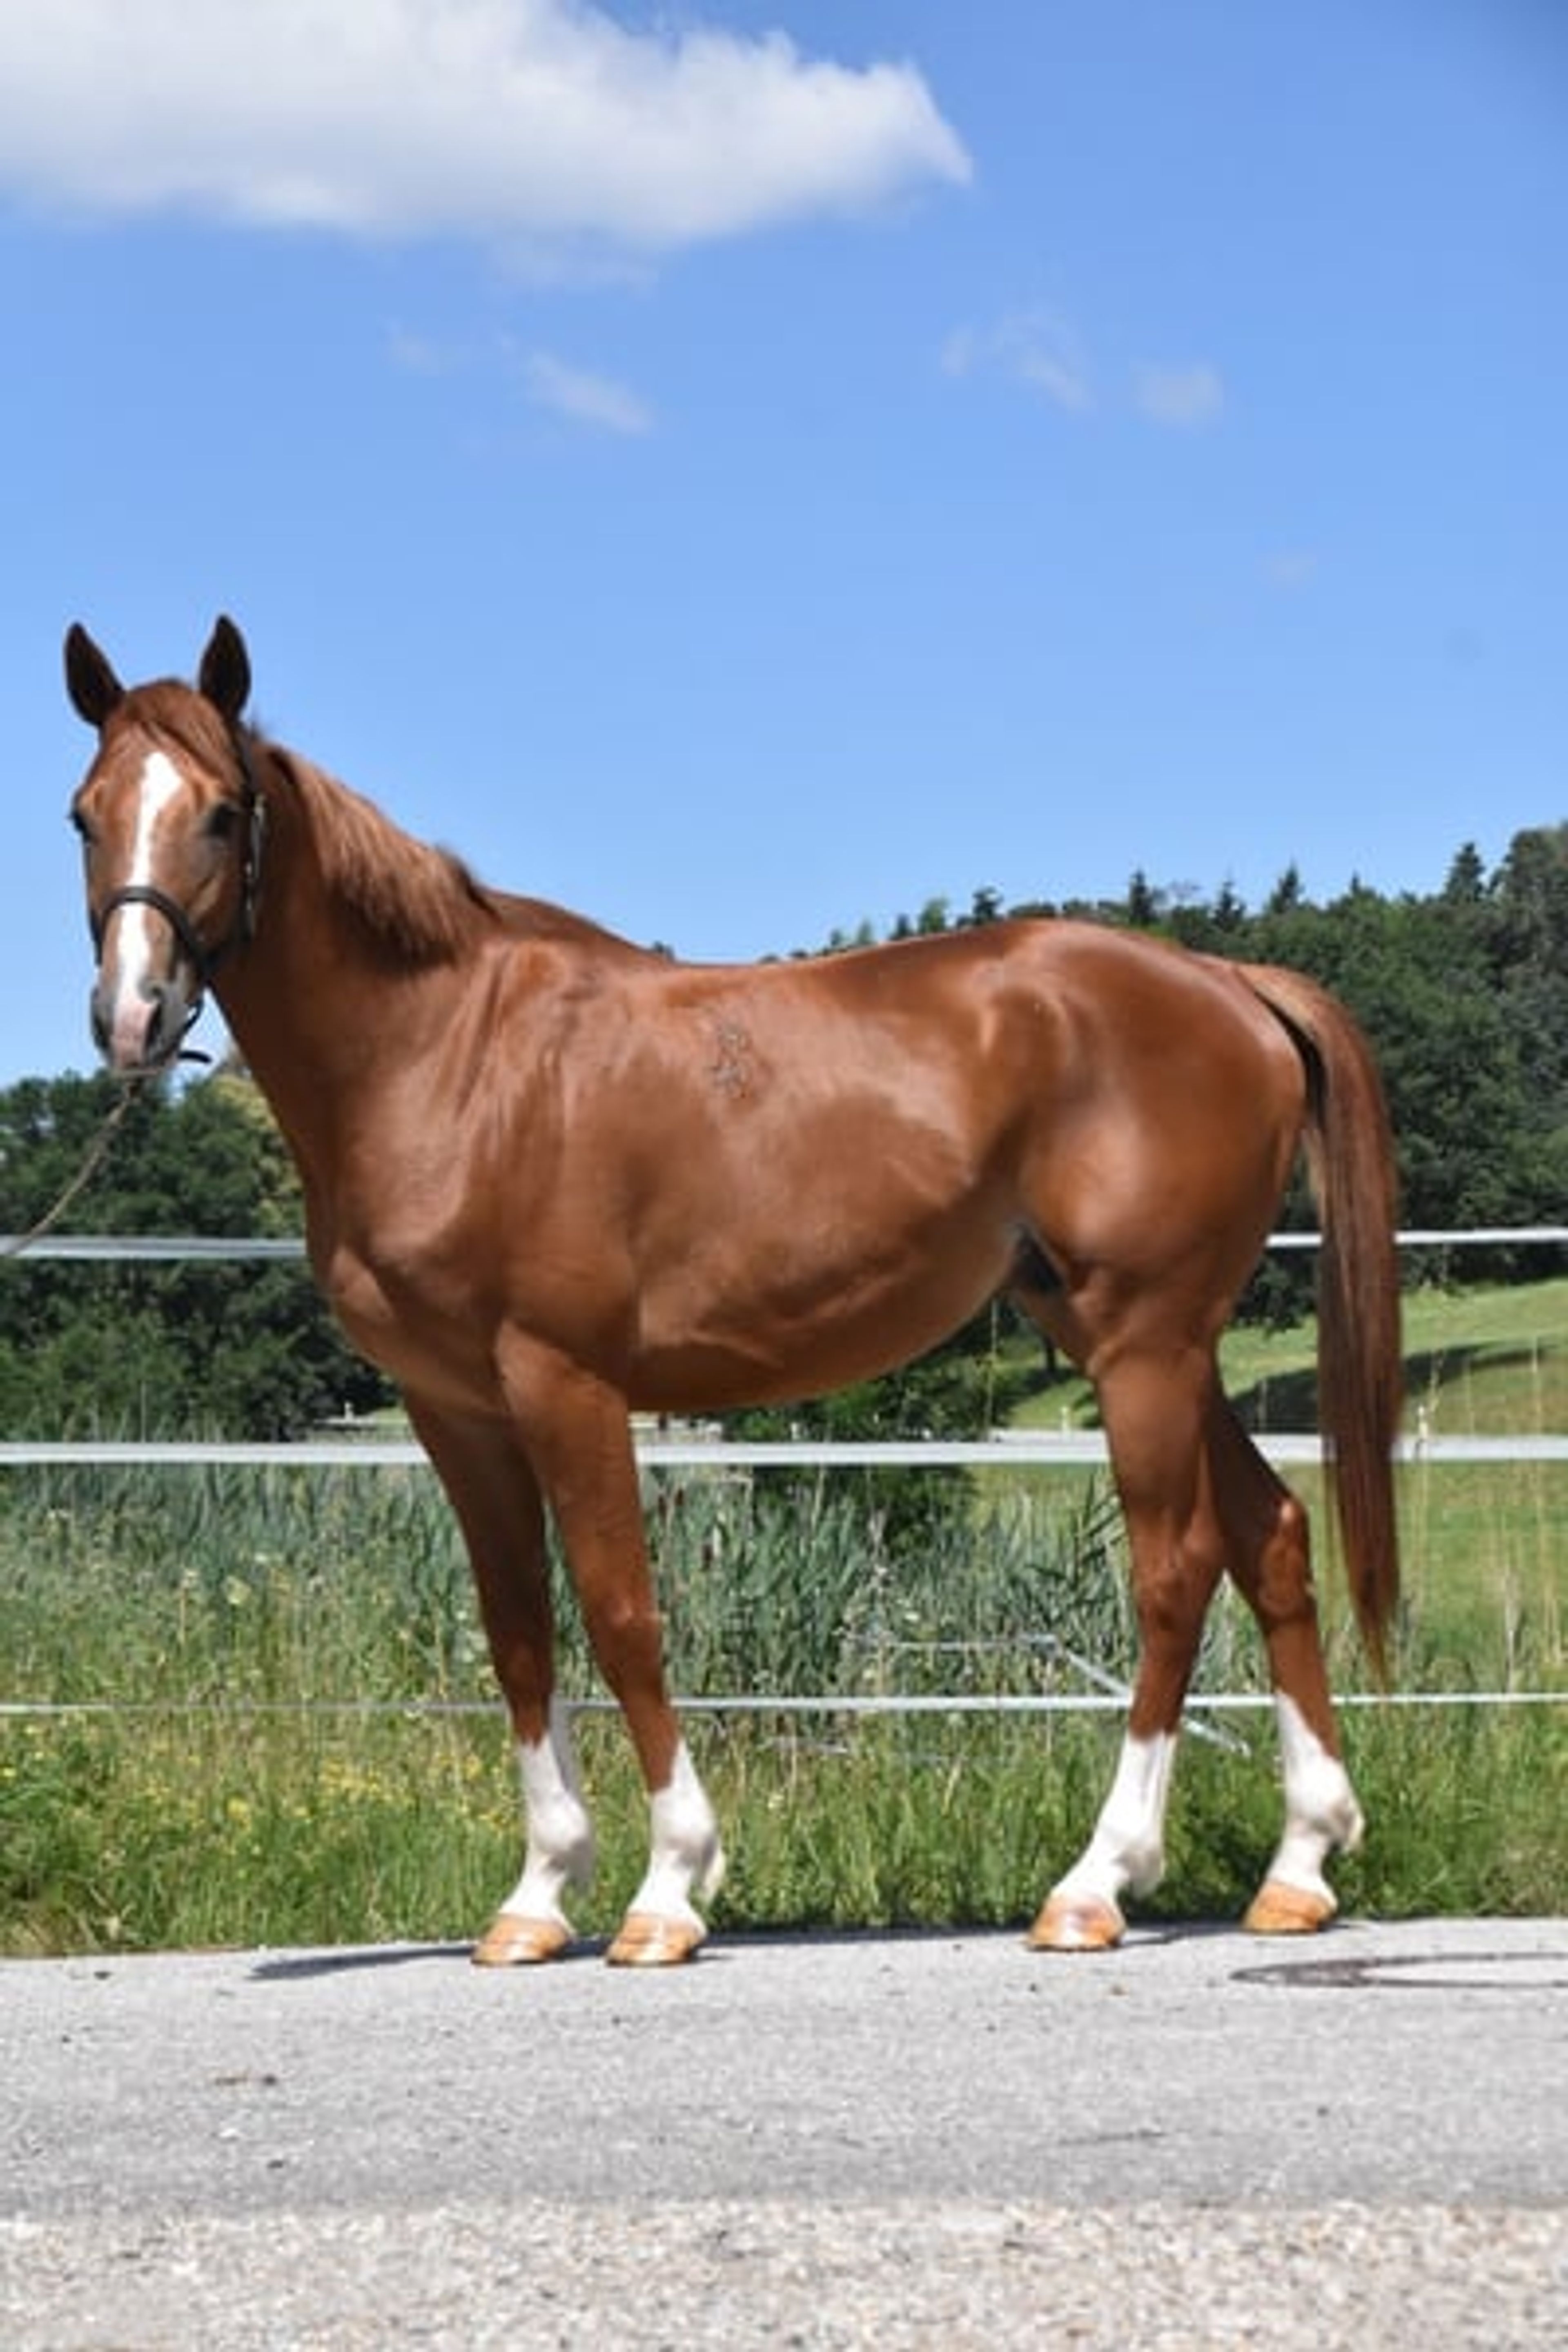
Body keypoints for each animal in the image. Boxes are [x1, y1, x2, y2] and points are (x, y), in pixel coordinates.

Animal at [63, 617, 1403, 1966]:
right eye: (85, 814)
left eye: (222, 813)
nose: (131, 1018)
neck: (452, 1059)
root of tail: (1225, 984)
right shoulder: (459, 1411)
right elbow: (518, 1631)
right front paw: (538, 1894)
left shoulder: (565, 1382)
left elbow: (622, 1615)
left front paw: (667, 1887)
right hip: (1150, 1346)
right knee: (1272, 1538)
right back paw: (1299, 1867)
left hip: (1143, 1348)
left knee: (1175, 1572)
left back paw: (1096, 1882)